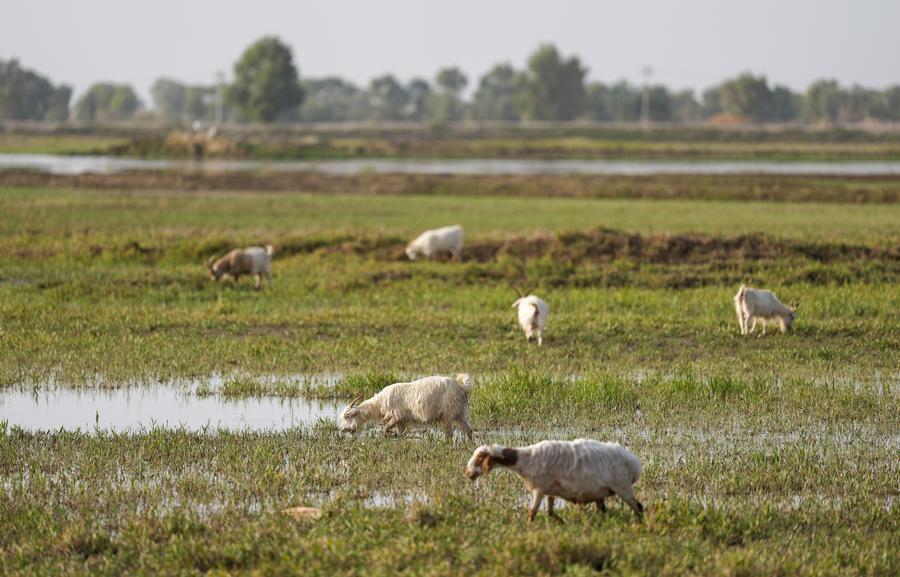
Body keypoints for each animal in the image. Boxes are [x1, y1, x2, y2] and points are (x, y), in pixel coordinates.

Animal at [339, 374, 474, 441]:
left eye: (347, 416)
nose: (342, 429)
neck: (379, 403)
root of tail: (461, 386)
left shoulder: (396, 415)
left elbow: (385, 428)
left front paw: (389, 436)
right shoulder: (401, 421)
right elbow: (402, 434)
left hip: (447, 414)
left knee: (449, 434)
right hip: (459, 414)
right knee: (468, 430)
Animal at [465, 439, 644, 522]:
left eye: (480, 457)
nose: (468, 473)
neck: (525, 459)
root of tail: (634, 463)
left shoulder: (539, 489)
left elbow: (532, 512)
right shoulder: (549, 491)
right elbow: (550, 512)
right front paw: (562, 523)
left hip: (623, 487)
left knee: (639, 508)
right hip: (601, 491)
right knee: (601, 509)